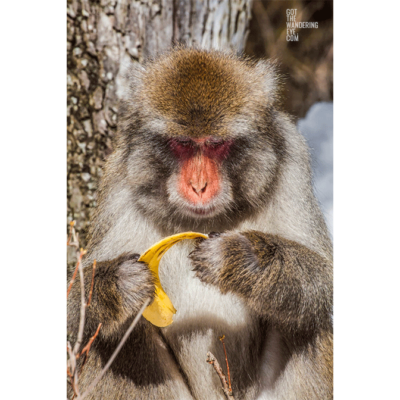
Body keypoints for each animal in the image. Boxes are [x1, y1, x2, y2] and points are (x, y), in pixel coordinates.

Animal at [66, 49, 334, 400]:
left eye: (216, 143)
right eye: (182, 143)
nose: (199, 186)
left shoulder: (291, 158)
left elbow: (324, 279)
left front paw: (241, 259)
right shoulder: (119, 181)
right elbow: (74, 314)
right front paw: (119, 281)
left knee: (307, 318)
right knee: (115, 335)